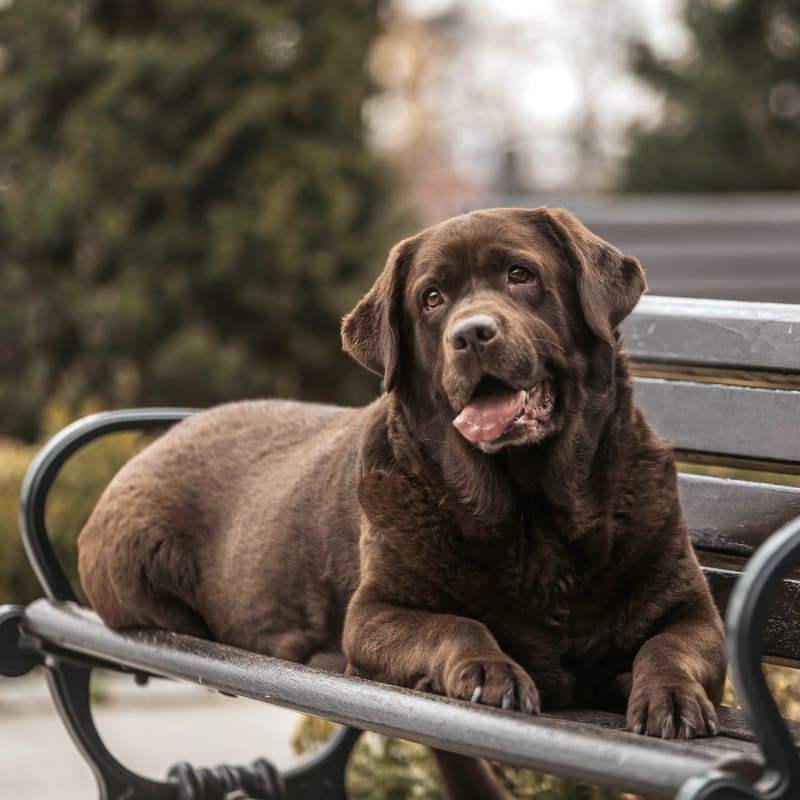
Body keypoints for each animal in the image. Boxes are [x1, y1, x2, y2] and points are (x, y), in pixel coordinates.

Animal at [79, 208, 724, 800]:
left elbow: (668, 646)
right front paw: (490, 672)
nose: (471, 333)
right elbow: (457, 625)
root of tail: (167, 433)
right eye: (431, 298)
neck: (533, 512)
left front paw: (670, 699)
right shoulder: (373, 614)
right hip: (138, 568)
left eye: (520, 274)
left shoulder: (694, 611)